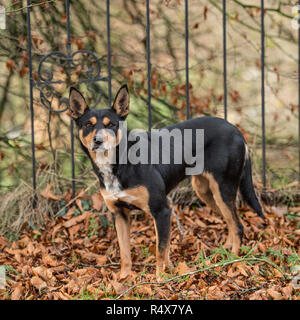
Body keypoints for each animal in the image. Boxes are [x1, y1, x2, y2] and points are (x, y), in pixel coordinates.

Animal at [67, 84, 264, 278]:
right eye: (88, 124)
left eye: (112, 125)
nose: (98, 141)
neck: (120, 163)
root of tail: (235, 129)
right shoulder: (120, 214)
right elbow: (125, 252)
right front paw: (124, 277)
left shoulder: (161, 210)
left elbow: (160, 250)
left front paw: (160, 279)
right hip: (205, 191)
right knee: (230, 221)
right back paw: (225, 250)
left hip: (223, 188)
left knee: (238, 226)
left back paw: (233, 261)